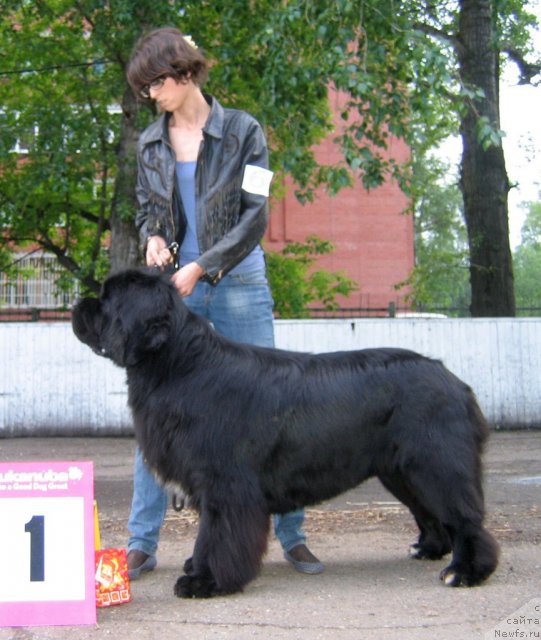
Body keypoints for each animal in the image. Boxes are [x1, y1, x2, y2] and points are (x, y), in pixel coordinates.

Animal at [71, 268, 498, 596]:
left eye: (107, 300)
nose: (79, 305)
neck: (181, 366)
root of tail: (455, 381)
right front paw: (198, 569)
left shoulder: (226, 484)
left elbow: (218, 534)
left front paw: (206, 581)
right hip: (401, 471)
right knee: (429, 512)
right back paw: (429, 549)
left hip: (436, 463)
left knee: (464, 517)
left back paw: (465, 571)